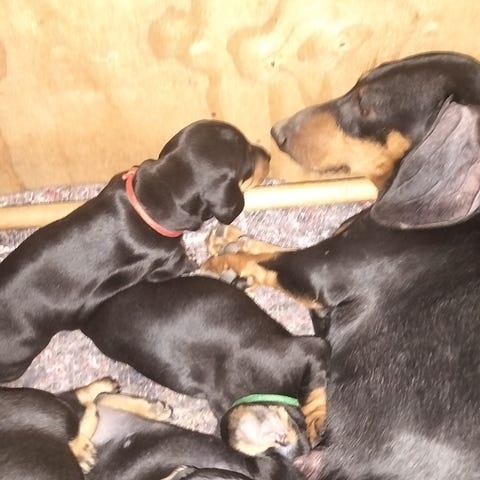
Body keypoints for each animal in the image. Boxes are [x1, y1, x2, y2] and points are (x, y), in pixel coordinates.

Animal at [202, 98, 480, 479]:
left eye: (365, 106)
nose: (279, 133)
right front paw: (230, 240)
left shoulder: (319, 273)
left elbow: (260, 259)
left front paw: (220, 259)